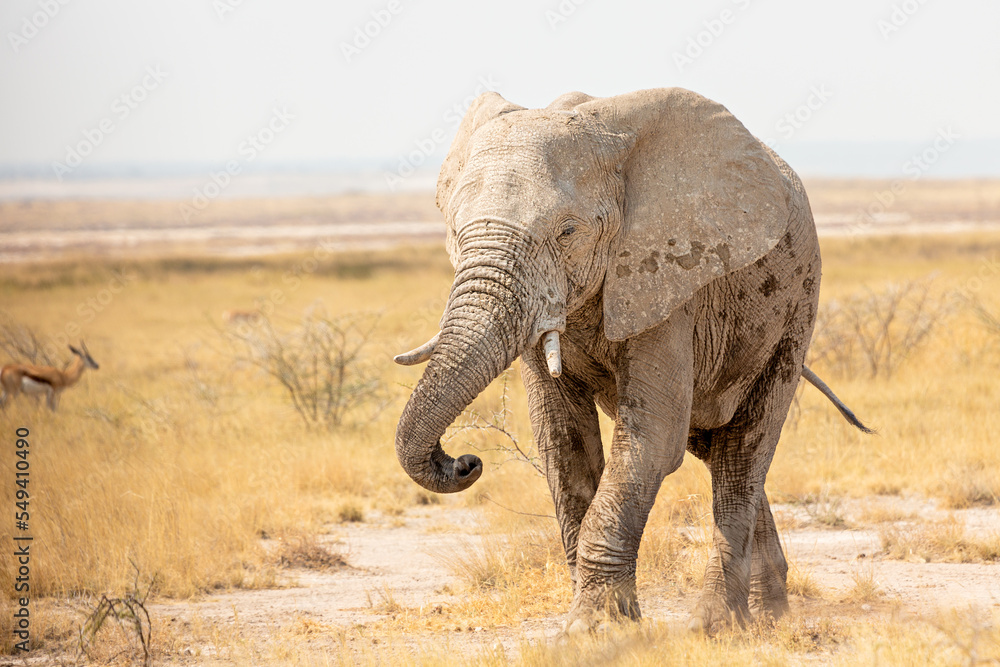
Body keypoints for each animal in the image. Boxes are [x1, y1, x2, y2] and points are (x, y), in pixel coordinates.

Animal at [393, 88, 870, 633]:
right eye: (455, 230)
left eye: (568, 231)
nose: (465, 461)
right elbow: (561, 440)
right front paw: (596, 618)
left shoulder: (669, 277)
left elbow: (653, 440)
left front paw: (596, 627)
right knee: (715, 447)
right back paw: (769, 615)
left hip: (796, 306)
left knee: (744, 449)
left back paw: (719, 625)